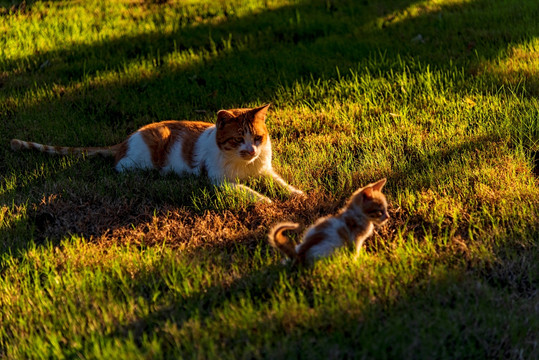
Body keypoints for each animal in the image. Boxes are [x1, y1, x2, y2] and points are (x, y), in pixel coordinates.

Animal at [9, 104, 304, 202]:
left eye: (257, 138)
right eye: (237, 139)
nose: (251, 150)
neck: (247, 168)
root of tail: (124, 140)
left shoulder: (264, 171)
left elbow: (280, 183)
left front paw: (296, 194)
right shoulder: (220, 182)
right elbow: (249, 191)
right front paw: (266, 201)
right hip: (147, 152)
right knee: (121, 166)